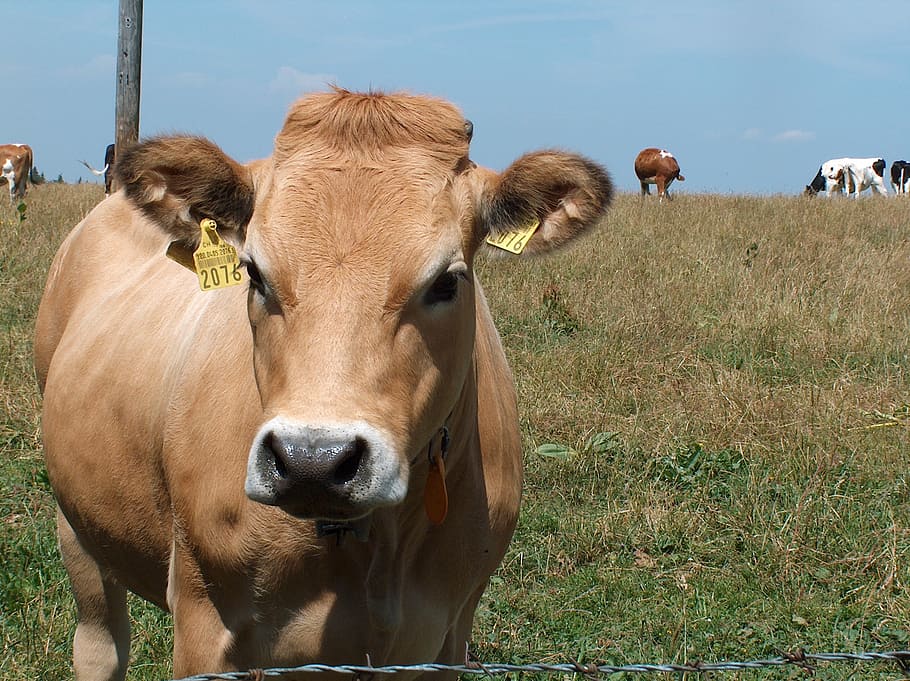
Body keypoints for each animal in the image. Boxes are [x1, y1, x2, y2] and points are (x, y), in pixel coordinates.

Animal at [34, 88, 614, 680]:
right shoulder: (202, 619)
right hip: (75, 525)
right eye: (253, 272)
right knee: (101, 641)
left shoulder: (447, 633)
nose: (312, 460)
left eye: (447, 281)